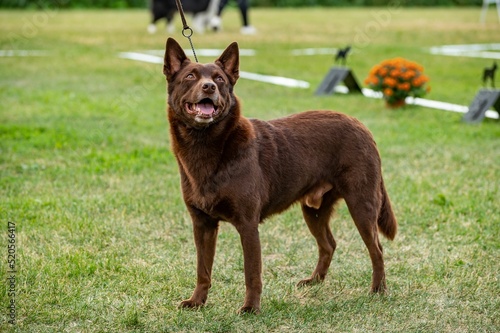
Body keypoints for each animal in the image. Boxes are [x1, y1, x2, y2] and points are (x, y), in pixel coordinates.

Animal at [164, 37, 398, 312]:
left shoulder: (248, 224)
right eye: (190, 76)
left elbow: (251, 272)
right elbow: (203, 269)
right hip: (314, 210)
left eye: (219, 78)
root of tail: (361, 125)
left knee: (377, 248)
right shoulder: (202, 224)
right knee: (329, 244)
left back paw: (378, 290)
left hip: (361, 203)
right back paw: (314, 281)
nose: (209, 87)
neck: (207, 146)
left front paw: (251, 308)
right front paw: (197, 301)